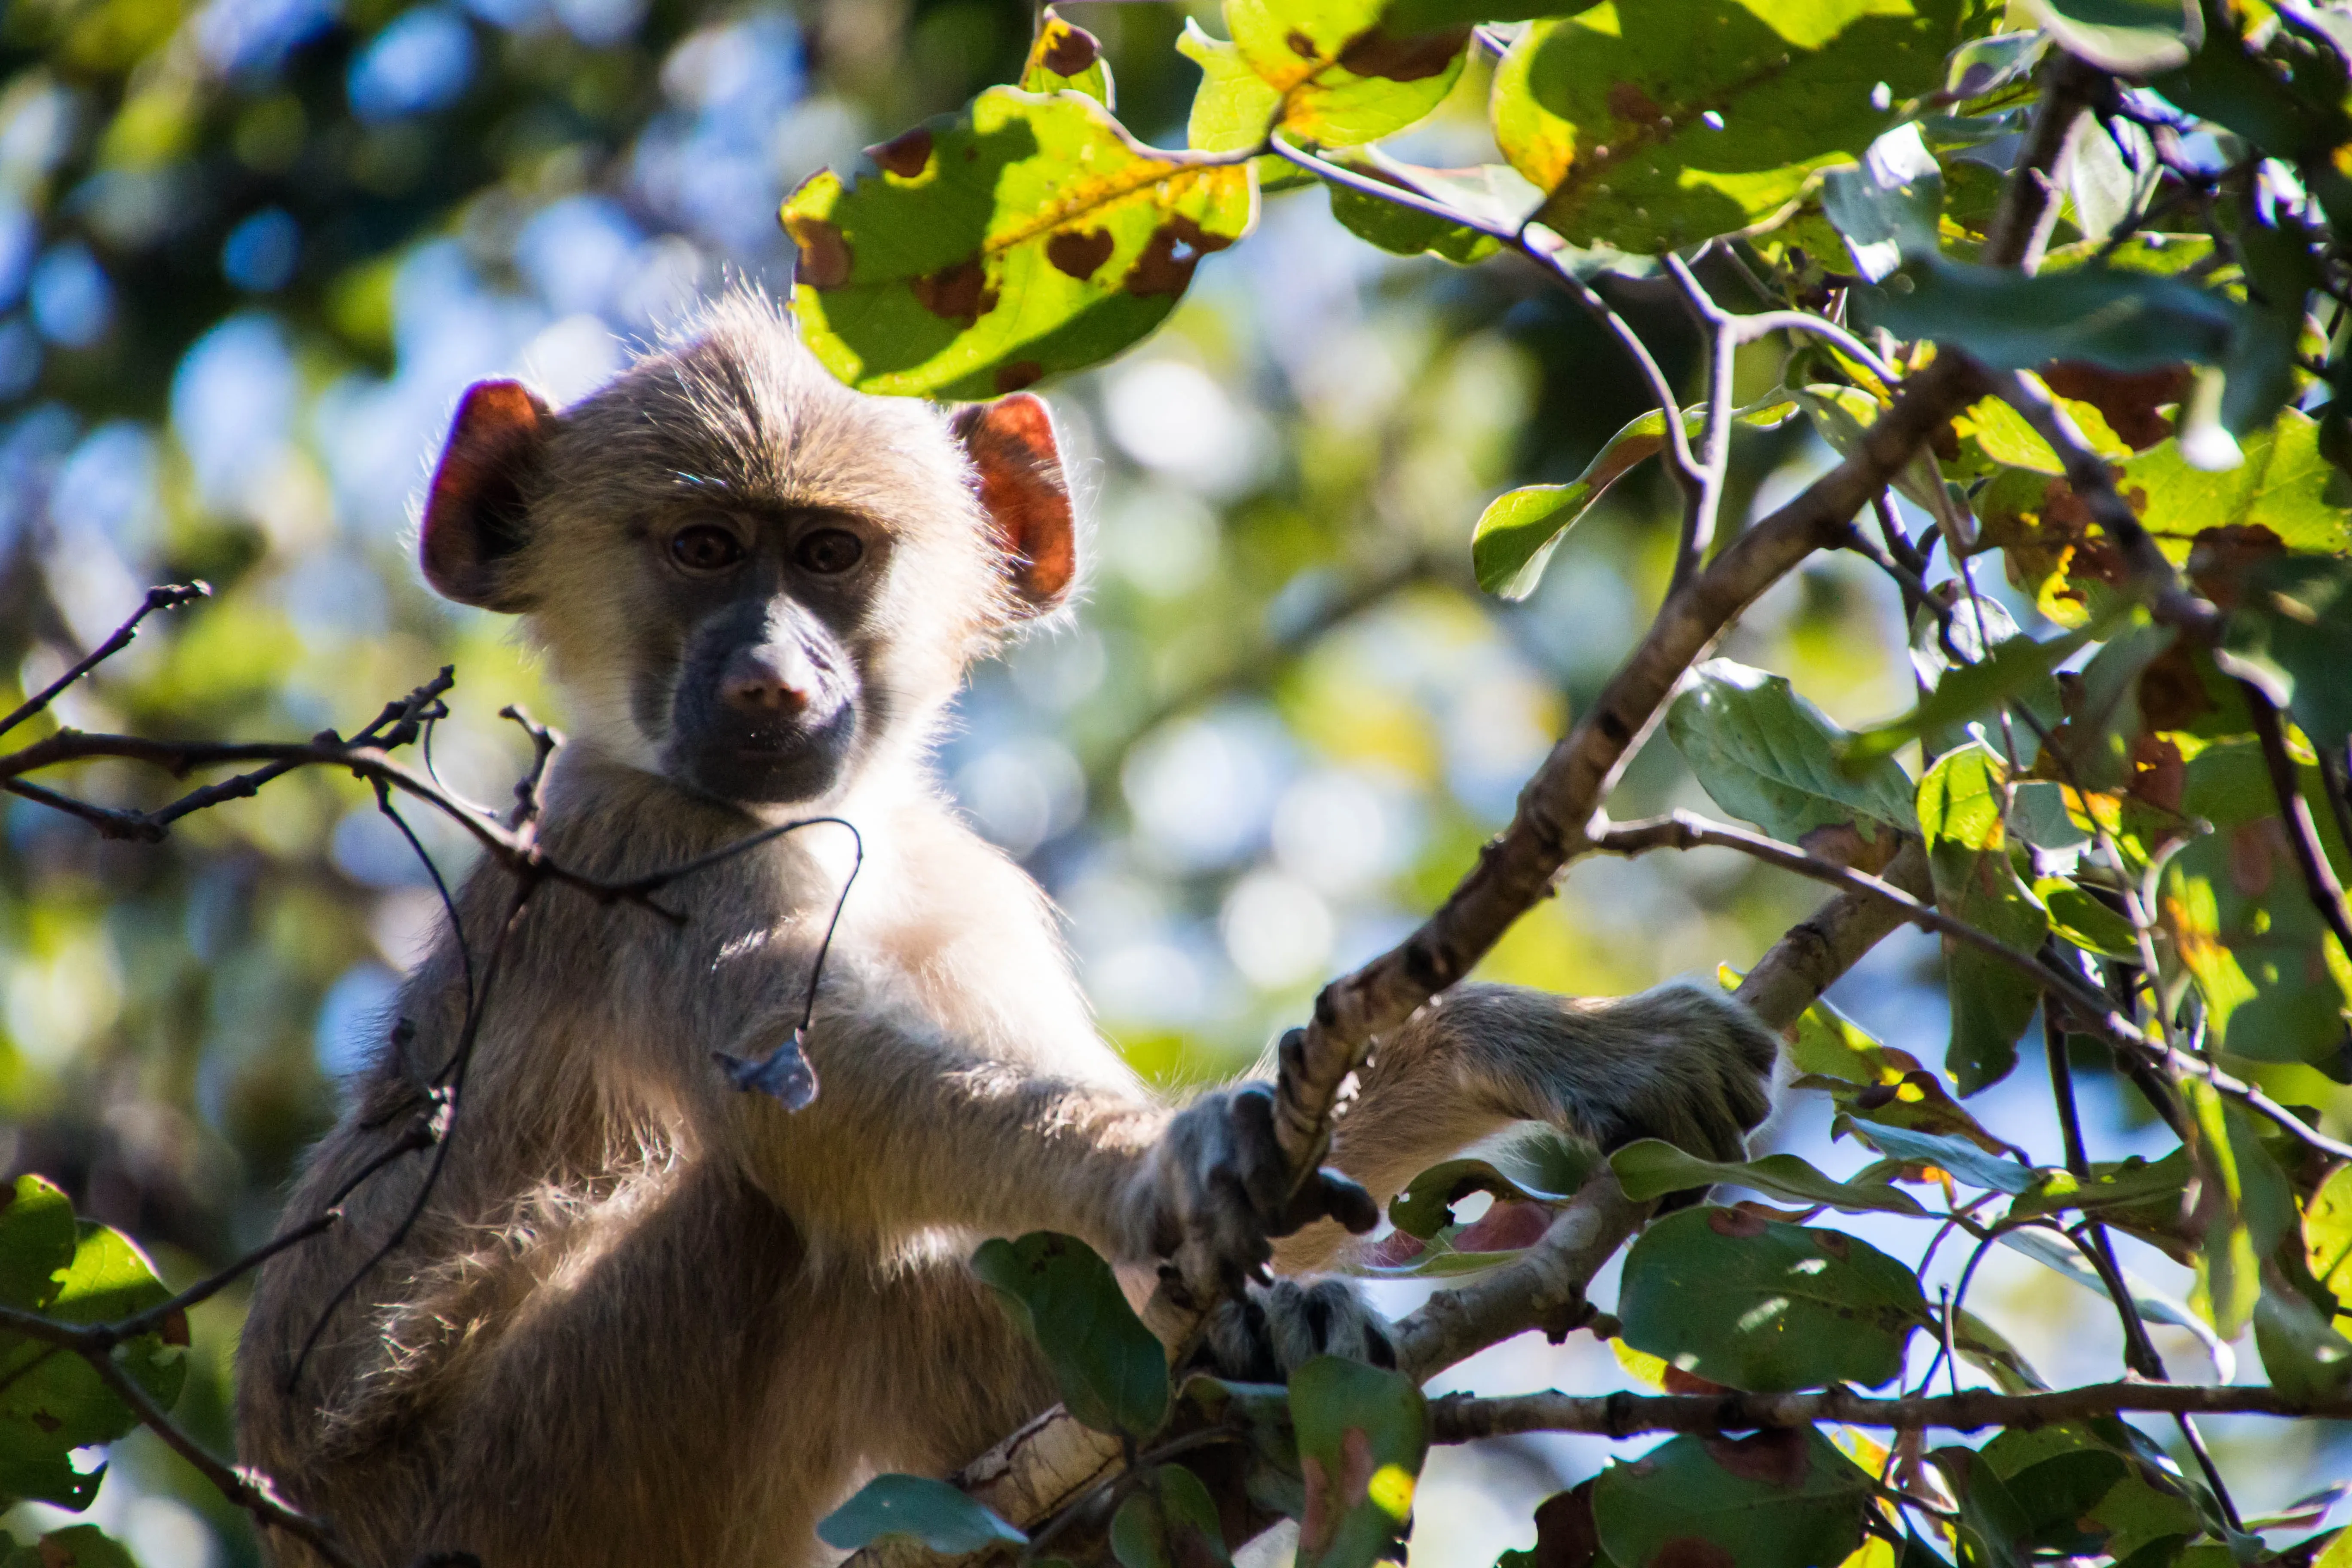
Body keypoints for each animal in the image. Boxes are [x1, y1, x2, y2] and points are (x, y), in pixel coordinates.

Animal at [233, 289, 1779, 1568]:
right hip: (551, 1481)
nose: (770, 683)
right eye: (703, 547)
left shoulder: (970, 891)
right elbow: (810, 1103)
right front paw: (1180, 1176)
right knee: (784, 1212)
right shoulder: (645, 850)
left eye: (831, 552)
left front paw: (1538, 1046)